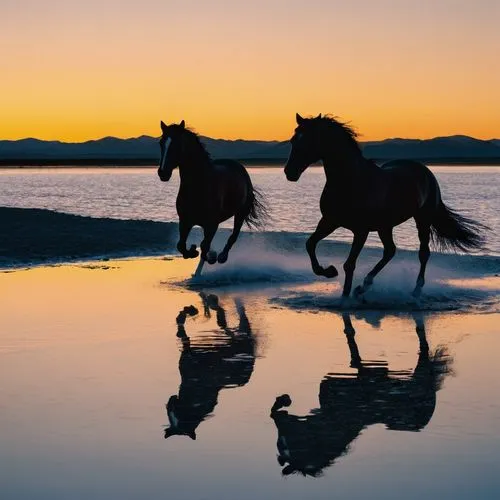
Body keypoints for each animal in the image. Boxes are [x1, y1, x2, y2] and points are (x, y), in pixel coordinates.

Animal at [157, 120, 268, 278]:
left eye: (176, 144)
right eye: (161, 143)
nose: (163, 173)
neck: (198, 186)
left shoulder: (211, 224)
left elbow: (204, 247)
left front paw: (211, 256)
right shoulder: (185, 221)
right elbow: (182, 246)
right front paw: (193, 251)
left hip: (240, 214)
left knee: (233, 236)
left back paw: (221, 257)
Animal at [164, 292, 256, 442]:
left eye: (176, 410)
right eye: (168, 411)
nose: (170, 401)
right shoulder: (188, 354)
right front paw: (186, 313)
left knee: (236, 323)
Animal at [286, 114, 488, 300]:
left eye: (309, 140)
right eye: (293, 140)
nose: (289, 172)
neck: (351, 181)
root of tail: (425, 170)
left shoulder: (361, 230)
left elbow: (349, 264)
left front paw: (345, 296)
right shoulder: (329, 221)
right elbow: (310, 244)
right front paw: (329, 271)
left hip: (422, 220)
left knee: (423, 253)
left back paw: (415, 290)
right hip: (385, 226)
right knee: (390, 250)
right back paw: (364, 286)